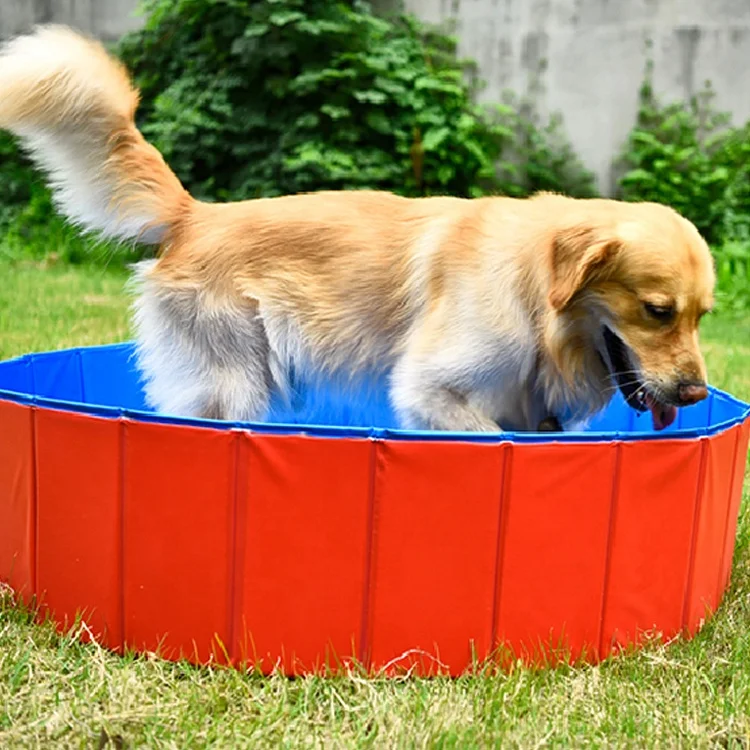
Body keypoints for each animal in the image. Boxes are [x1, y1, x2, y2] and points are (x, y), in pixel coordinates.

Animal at [0, 26, 720, 434]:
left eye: (702, 317)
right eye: (657, 311)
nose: (695, 394)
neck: (536, 296)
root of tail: (196, 213)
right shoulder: (431, 389)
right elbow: (485, 434)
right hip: (234, 386)